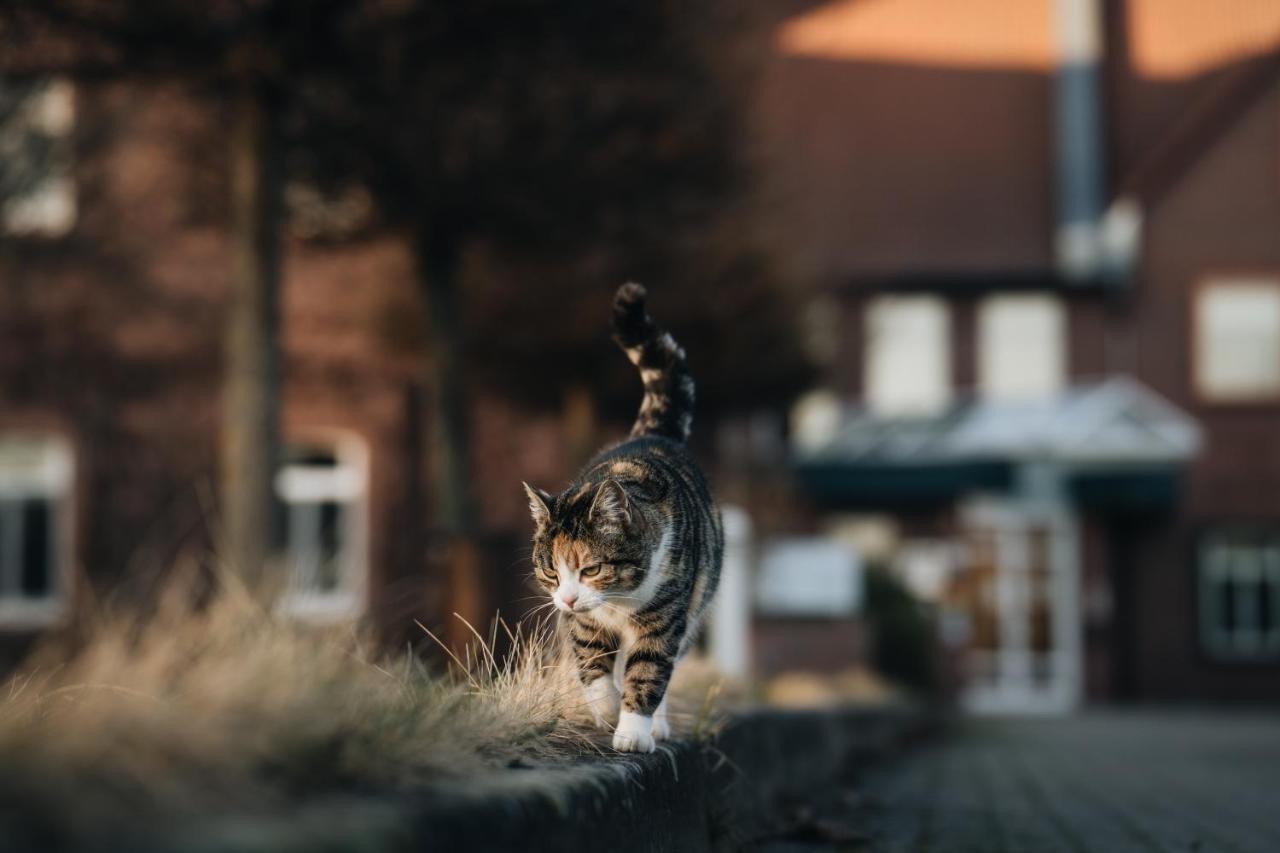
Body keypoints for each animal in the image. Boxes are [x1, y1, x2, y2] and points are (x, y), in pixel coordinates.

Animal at [519, 280, 721, 753]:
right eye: (551, 574)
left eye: (591, 569)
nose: (568, 598)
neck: (618, 602)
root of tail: (654, 434)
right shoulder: (583, 623)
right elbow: (593, 666)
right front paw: (608, 711)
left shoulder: (665, 618)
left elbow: (648, 673)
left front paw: (632, 733)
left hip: (693, 609)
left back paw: (657, 726)